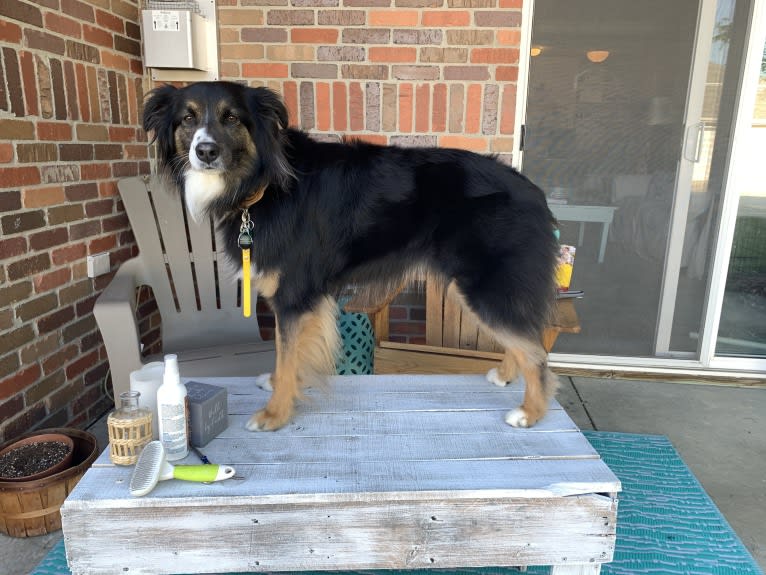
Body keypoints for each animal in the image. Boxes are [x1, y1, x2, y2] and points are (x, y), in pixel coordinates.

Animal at [144, 81, 560, 432]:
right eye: (188, 118)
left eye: (231, 117)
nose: (206, 152)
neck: (263, 180)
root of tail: (534, 192)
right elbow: (284, 350)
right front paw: (277, 385)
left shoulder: (294, 295)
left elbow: (287, 353)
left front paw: (275, 414)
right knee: (522, 339)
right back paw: (506, 375)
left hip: (485, 285)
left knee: (536, 350)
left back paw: (531, 412)